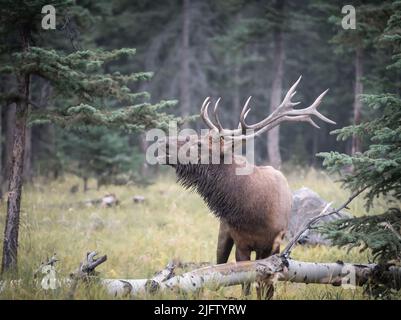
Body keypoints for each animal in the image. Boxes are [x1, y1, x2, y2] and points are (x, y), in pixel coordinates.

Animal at [162, 76, 334, 298]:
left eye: (199, 145)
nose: (164, 142)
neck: (254, 212)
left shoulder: (273, 245)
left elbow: (266, 286)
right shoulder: (242, 243)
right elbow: (245, 284)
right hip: (223, 233)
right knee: (218, 266)